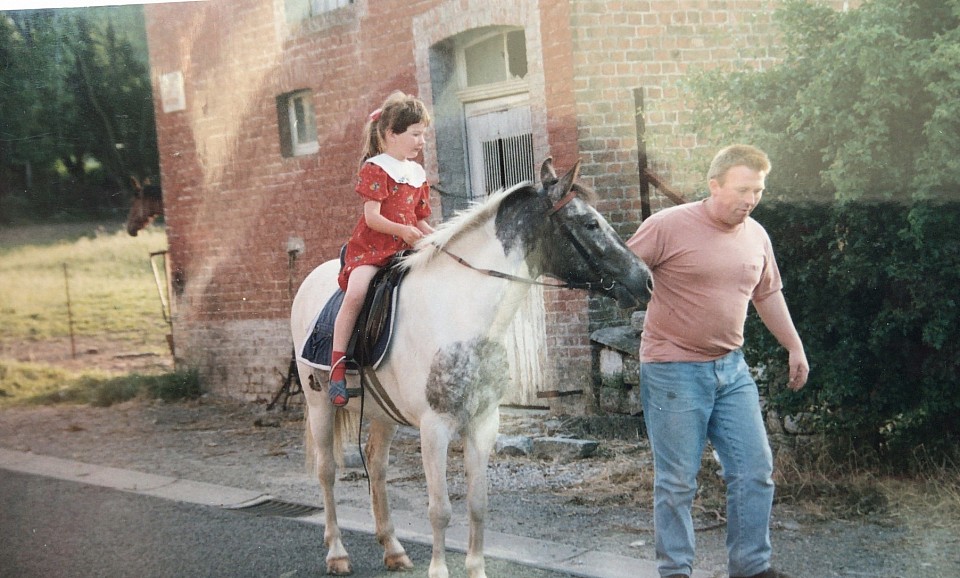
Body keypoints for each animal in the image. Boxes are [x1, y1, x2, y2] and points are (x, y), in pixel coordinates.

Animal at [290, 158, 652, 576]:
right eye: (590, 223)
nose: (645, 281)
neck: (463, 314)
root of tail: (310, 281)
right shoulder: (434, 428)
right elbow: (440, 510)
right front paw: (438, 569)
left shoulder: (483, 423)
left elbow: (478, 505)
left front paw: (475, 567)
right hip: (320, 406)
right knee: (327, 471)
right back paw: (337, 553)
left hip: (383, 412)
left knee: (377, 466)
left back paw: (394, 549)